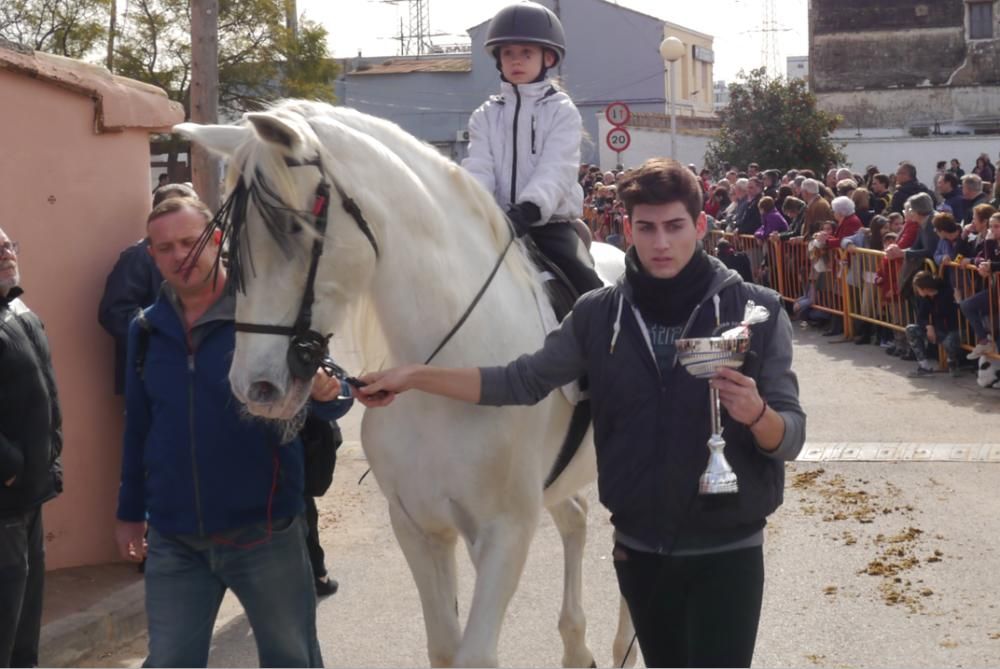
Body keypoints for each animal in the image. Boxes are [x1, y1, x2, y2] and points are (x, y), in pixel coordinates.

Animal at [178, 100, 632, 668]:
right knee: (574, 518)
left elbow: (474, 654)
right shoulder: (418, 528)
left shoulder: (504, 533)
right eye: (231, 244)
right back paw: (577, 646)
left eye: (295, 229)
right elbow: (444, 648)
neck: (449, 378)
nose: (256, 387)